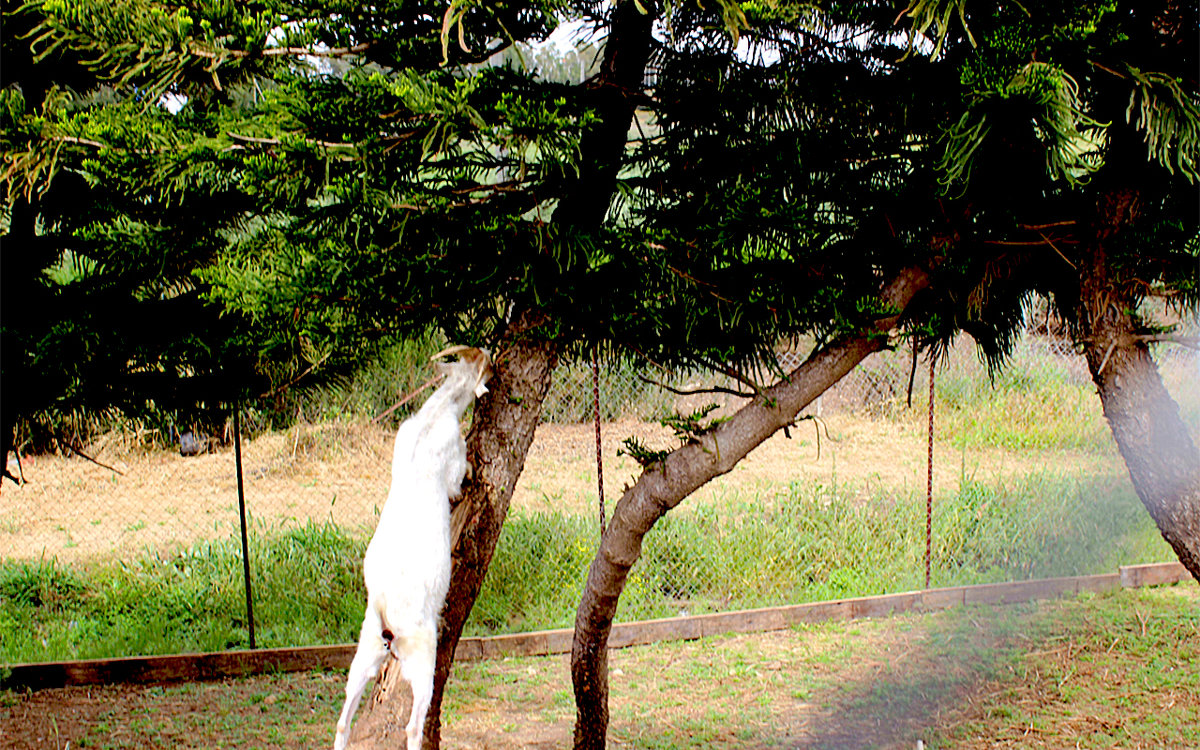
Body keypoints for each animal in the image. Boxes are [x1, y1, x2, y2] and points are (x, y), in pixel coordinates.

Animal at [333, 348, 492, 748]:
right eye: (483, 363)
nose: (494, 362)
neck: (433, 416)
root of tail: (386, 615)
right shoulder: (453, 456)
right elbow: (459, 479)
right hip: (421, 655)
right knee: (412, 725)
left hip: (365, 650)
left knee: (343, 719)